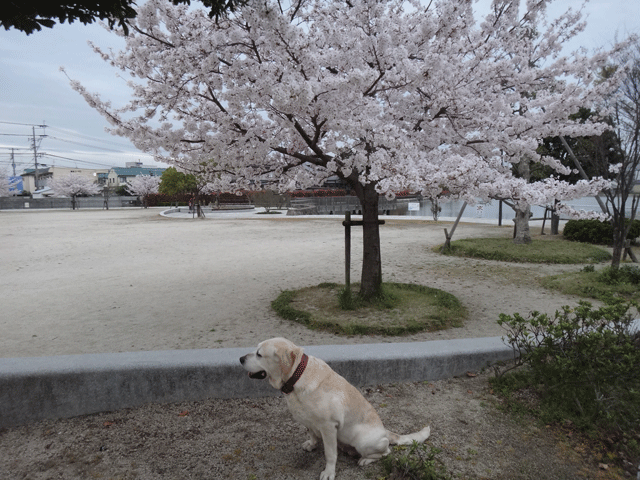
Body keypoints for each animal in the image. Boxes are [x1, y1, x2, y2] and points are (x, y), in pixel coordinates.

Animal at [240, 338, 430, 480]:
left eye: (259, 354)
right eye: (255, 349)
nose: (240, 359)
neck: (296, 378)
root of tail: (386, 431)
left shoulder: (329, 426)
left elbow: (330, 454)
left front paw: (329, 472)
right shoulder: (309, 421)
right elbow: (312, 434)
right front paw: (311, 444)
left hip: (362, 440)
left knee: (386, 452)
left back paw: (364, 460)